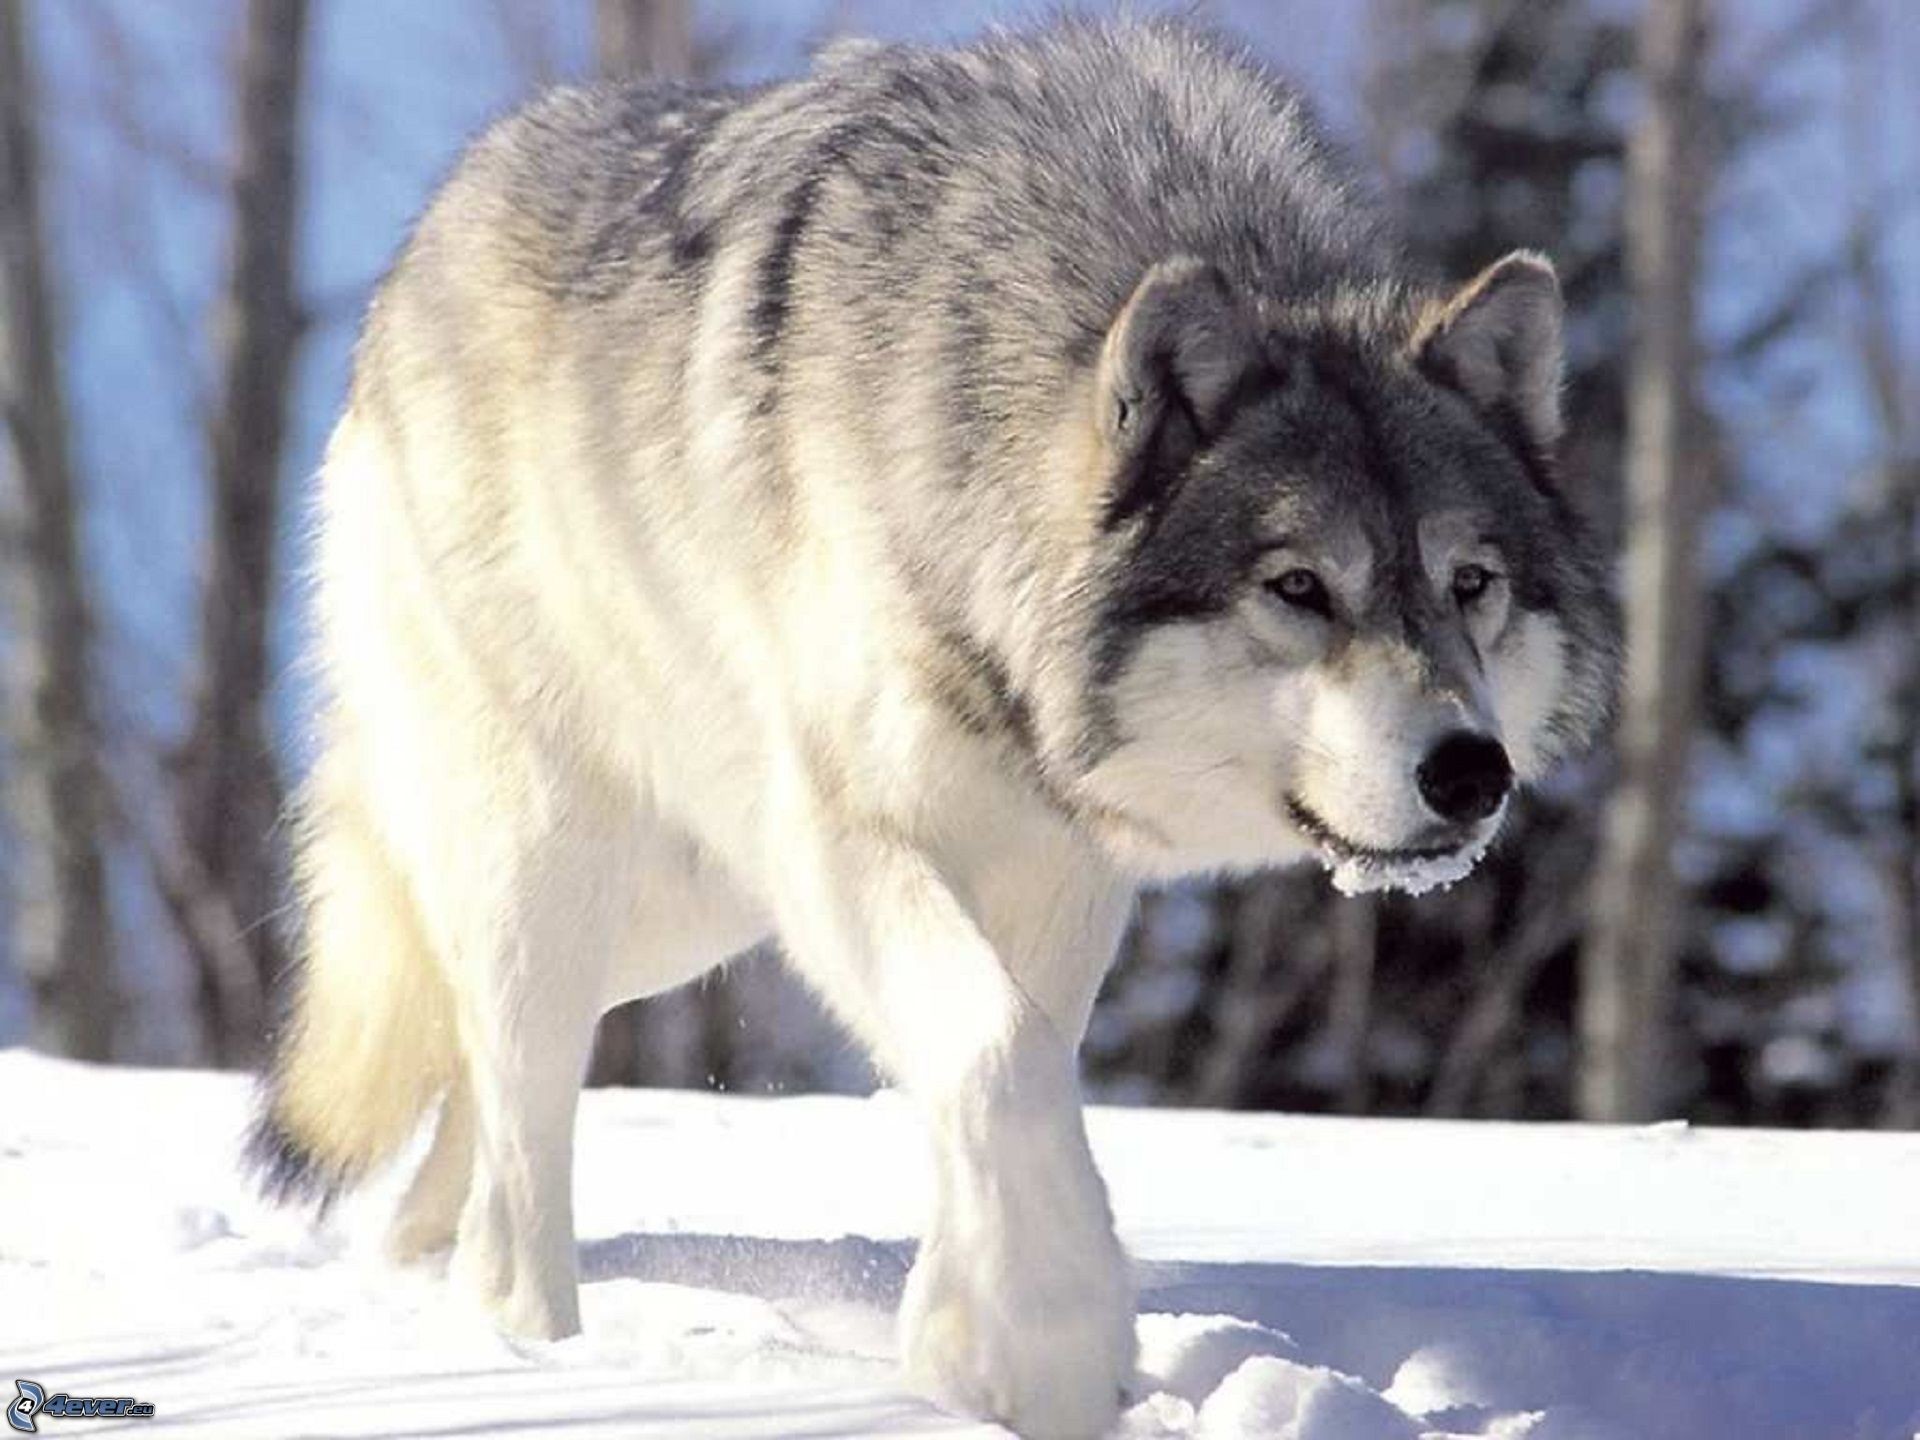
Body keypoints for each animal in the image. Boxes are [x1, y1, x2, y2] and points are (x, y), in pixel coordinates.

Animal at [250, 16, 1617, 1439]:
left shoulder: (1060, 867)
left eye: (1470, 584)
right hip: (569, 867)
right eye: (1300, 588)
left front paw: (972, 1332)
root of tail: (424, 242)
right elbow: (998, 1049)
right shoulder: (843, 837)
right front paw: (1043, 1342)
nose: (1472, 774)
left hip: (683, 913)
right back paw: (532, 1345)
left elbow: (1019, 1064)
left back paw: (417, 1267)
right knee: (515, 1119)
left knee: (471, 1071)